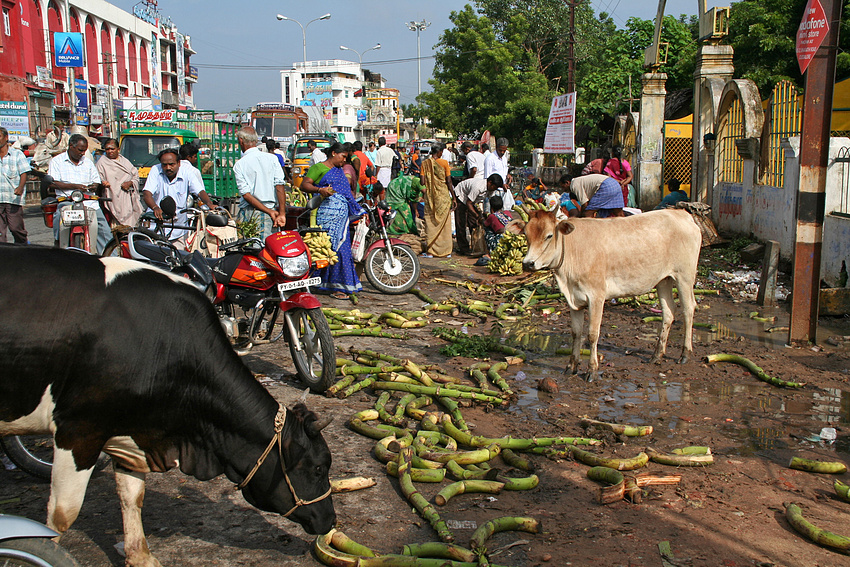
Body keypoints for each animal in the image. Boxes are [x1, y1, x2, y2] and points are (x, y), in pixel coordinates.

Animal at [0, 246, 336, 567]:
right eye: (318, 468)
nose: (330, 520)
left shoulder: (133, 429)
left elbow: (132, 496)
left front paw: (140, 556)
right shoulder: (79, 430)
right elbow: (61, 517)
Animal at [506, 211, 700, 374]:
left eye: (549, 235)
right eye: (526, 234)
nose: (528, 263)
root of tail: (682, 214)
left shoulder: (596, 296)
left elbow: (592, 334)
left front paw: (592, 370)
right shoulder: (573, 300)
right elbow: (576, 333)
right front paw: (571, 366)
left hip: (685, 276)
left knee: (689, 309)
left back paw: (685, 354)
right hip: (663, 280)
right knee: (669, 313)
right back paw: (657, 355)